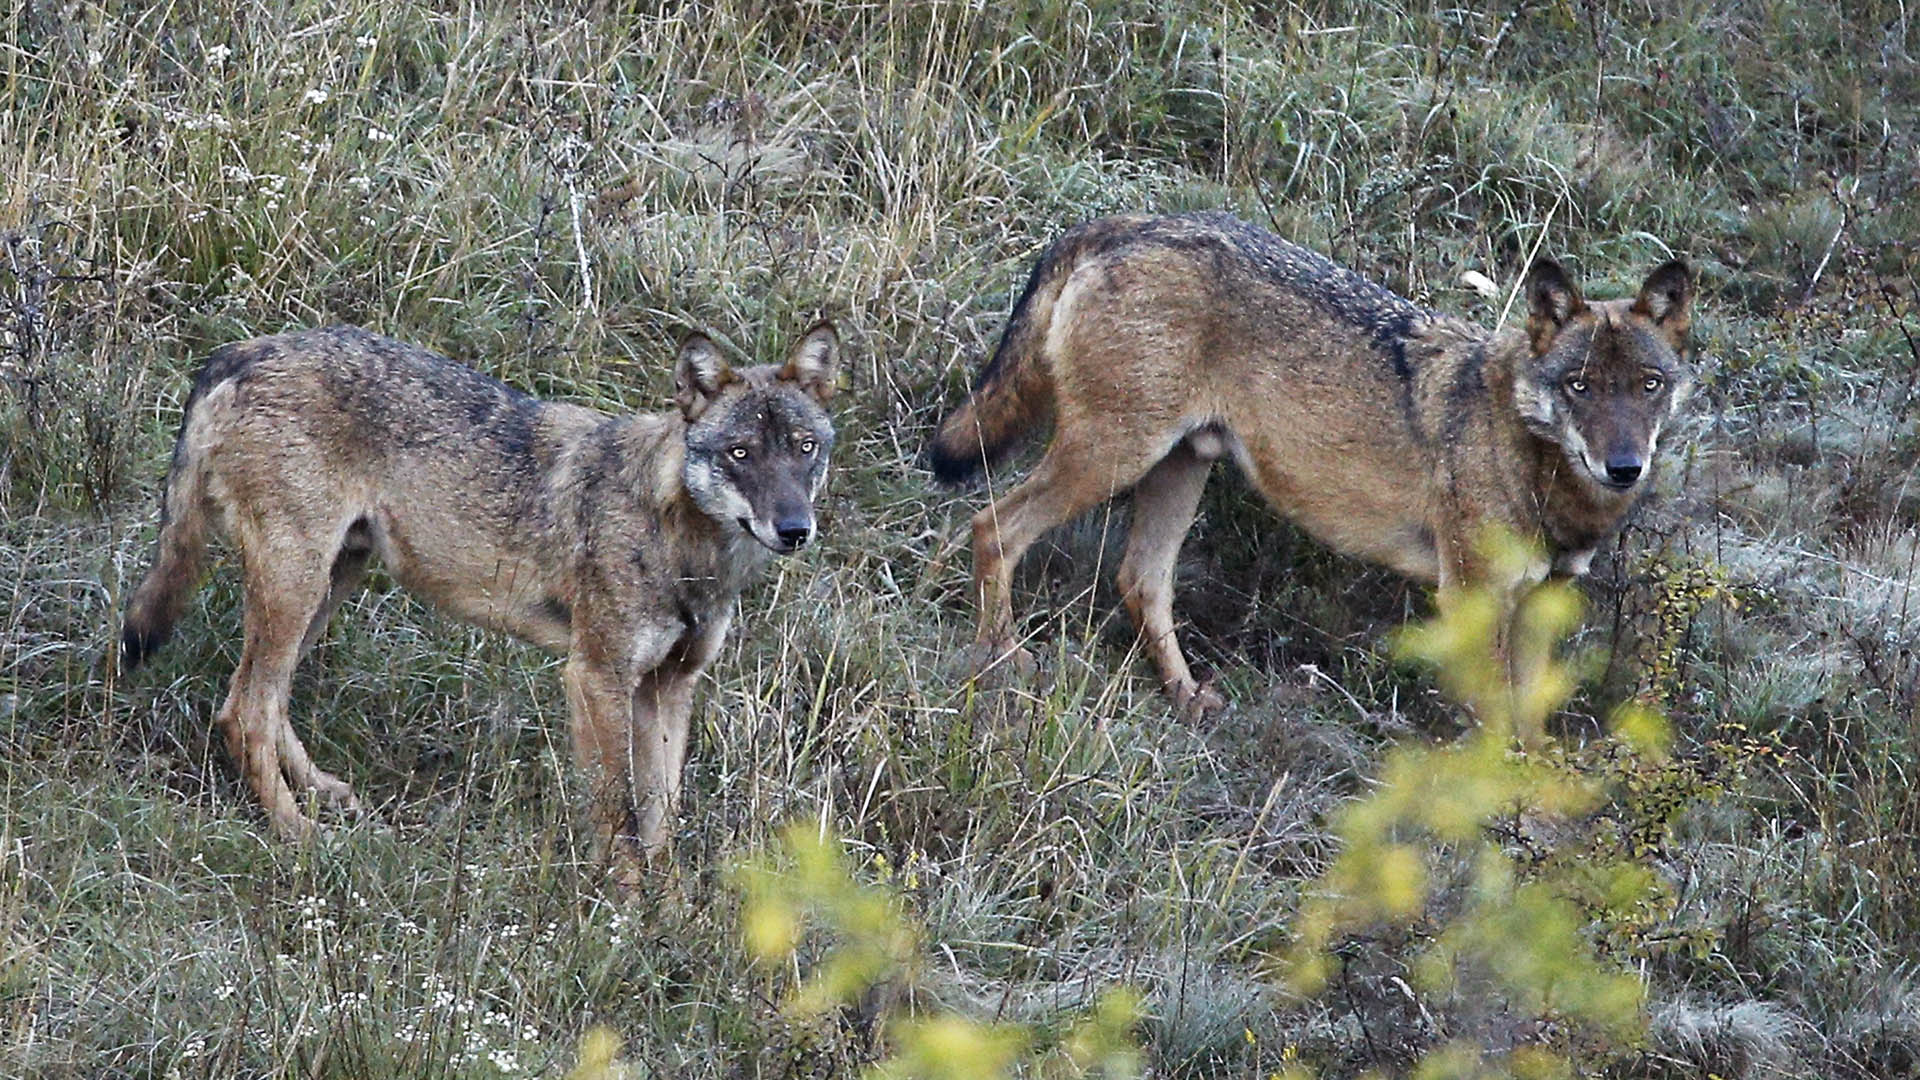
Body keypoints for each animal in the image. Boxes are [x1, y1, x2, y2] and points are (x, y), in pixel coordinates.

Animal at [121, 319, 840, 876]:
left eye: (805, 449)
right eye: (739, 454)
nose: (794, 528)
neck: (686, 550)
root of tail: (240, 349)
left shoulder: (669, 688)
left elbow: (662, 821)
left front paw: (670, 917)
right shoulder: (595, 677)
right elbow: (619, 816)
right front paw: (624, 918)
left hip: (329, 584)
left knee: (261, 699)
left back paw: (321, 793)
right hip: (297, 584)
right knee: (242, 711)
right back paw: (300, 835)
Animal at [929, 210, 1697, 714]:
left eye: (1648, 386)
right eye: (1580, 386)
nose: (1624, 466)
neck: (1531, 460)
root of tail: (1124, 224)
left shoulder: (1544, 601)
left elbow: (1530, 723)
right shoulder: (1473, 599)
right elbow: (1496, 722)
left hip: (1178, 470)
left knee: (1139, 580)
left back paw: (1187, 696)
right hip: (1113, 458)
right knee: (992, 528)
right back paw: (1001, 662)